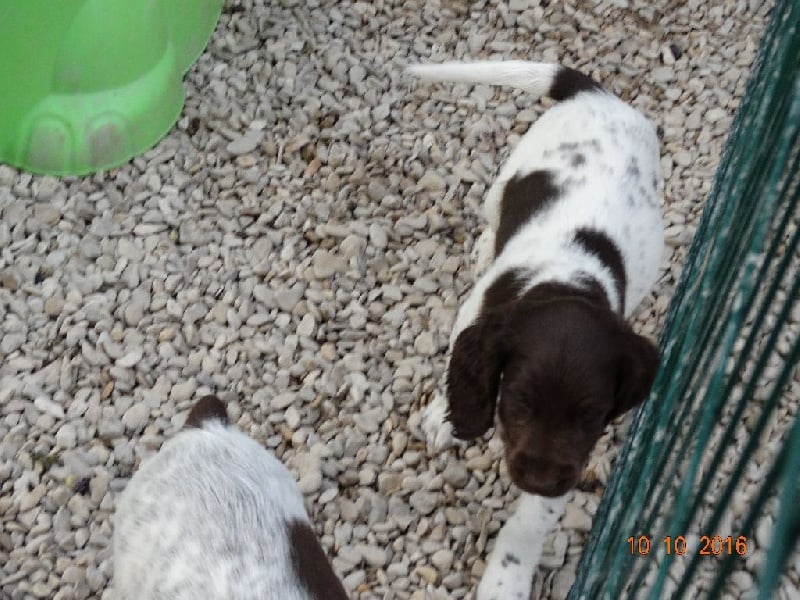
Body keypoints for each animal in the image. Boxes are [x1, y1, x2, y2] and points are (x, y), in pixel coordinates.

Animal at [407, 61, 663, 599]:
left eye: (591, 415)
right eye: (519, 401)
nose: (541, 480)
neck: (566, 279)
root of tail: (601, 98)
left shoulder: (574, 453)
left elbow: (531, 521)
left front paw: (506, 578)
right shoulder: (476, 319)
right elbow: (458, 369)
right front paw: (446, 418)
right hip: (509, 176)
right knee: (493, 212)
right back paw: (485, 245)